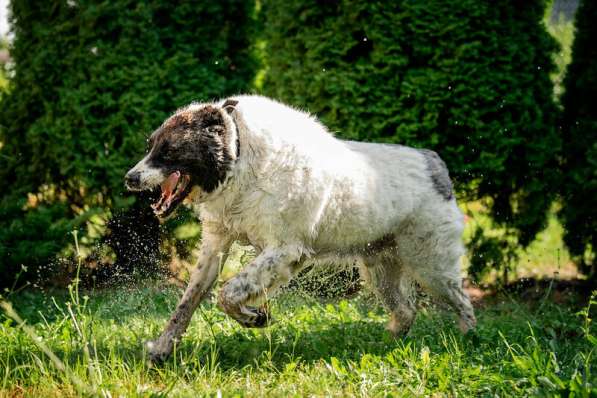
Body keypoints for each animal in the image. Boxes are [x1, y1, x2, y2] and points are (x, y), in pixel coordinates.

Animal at [125, 95, 474, 362]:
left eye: (168, 151)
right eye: (150, 146)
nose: (130, 178)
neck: (240, 155)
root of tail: (434, 163)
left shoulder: (285, 249)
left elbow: (229, 293)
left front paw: (255, 318)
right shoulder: (216, 245)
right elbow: (187, 302)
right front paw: (160, 351)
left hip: (430, 265)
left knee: (463, 301)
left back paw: (468, 341)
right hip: (380, 269)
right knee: (406, 310)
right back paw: (388, 345)